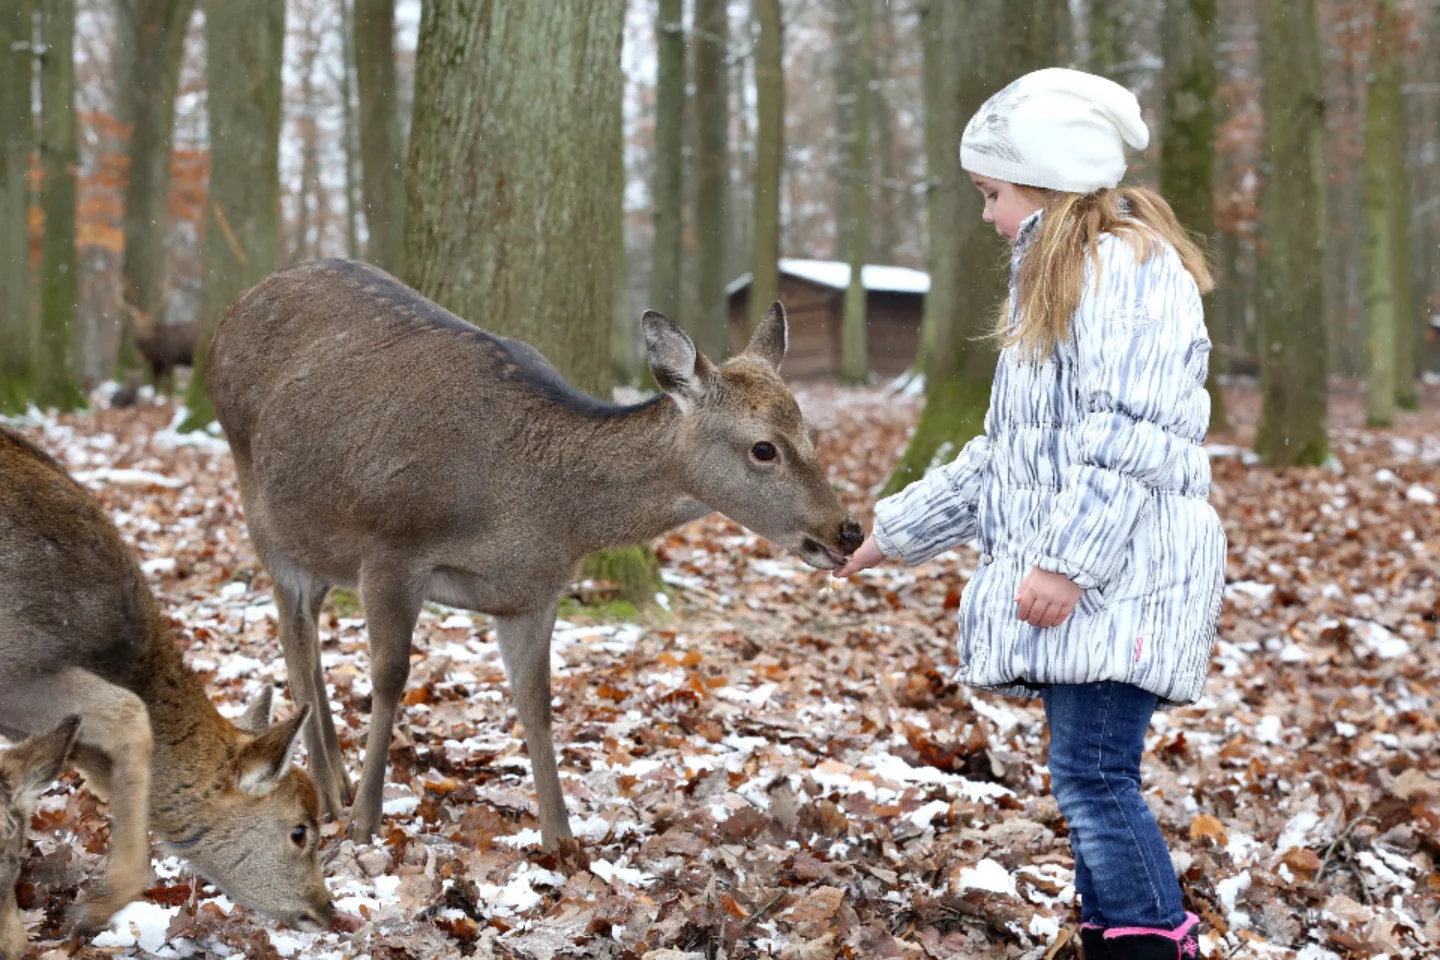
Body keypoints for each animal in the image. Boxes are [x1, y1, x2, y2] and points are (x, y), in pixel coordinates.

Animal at [207, 260, 858, 846]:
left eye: (813, 434)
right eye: (764, 448)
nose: (846, 531)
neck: (528, 513)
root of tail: (229, 314)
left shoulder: (534, 591)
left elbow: (536, 700)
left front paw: (562, 844)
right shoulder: (390, 548)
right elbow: (390, 679)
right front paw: (366, 825)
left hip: (316, 540)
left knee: (312, 628)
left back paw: (335, 781)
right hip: (257, 500)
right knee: (293, 635)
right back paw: (327, 793)